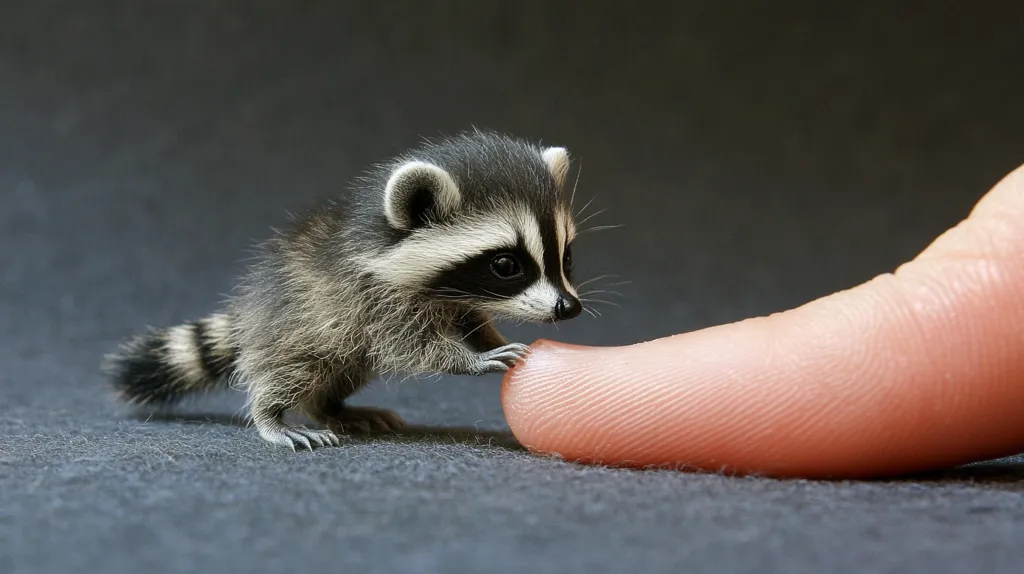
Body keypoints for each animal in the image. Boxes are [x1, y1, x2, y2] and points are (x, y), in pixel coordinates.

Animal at [104, 129, 585, 450]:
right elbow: (410, 346)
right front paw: (470, 359)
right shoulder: (372, 297)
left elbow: (471, 321)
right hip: (295, 328)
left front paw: (487, 339)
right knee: (287, 373)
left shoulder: (449, 298)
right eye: (506, 265)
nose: (568, 308)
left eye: (565, 258)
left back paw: (332, 408)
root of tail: (251, 313)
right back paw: (271, 416)